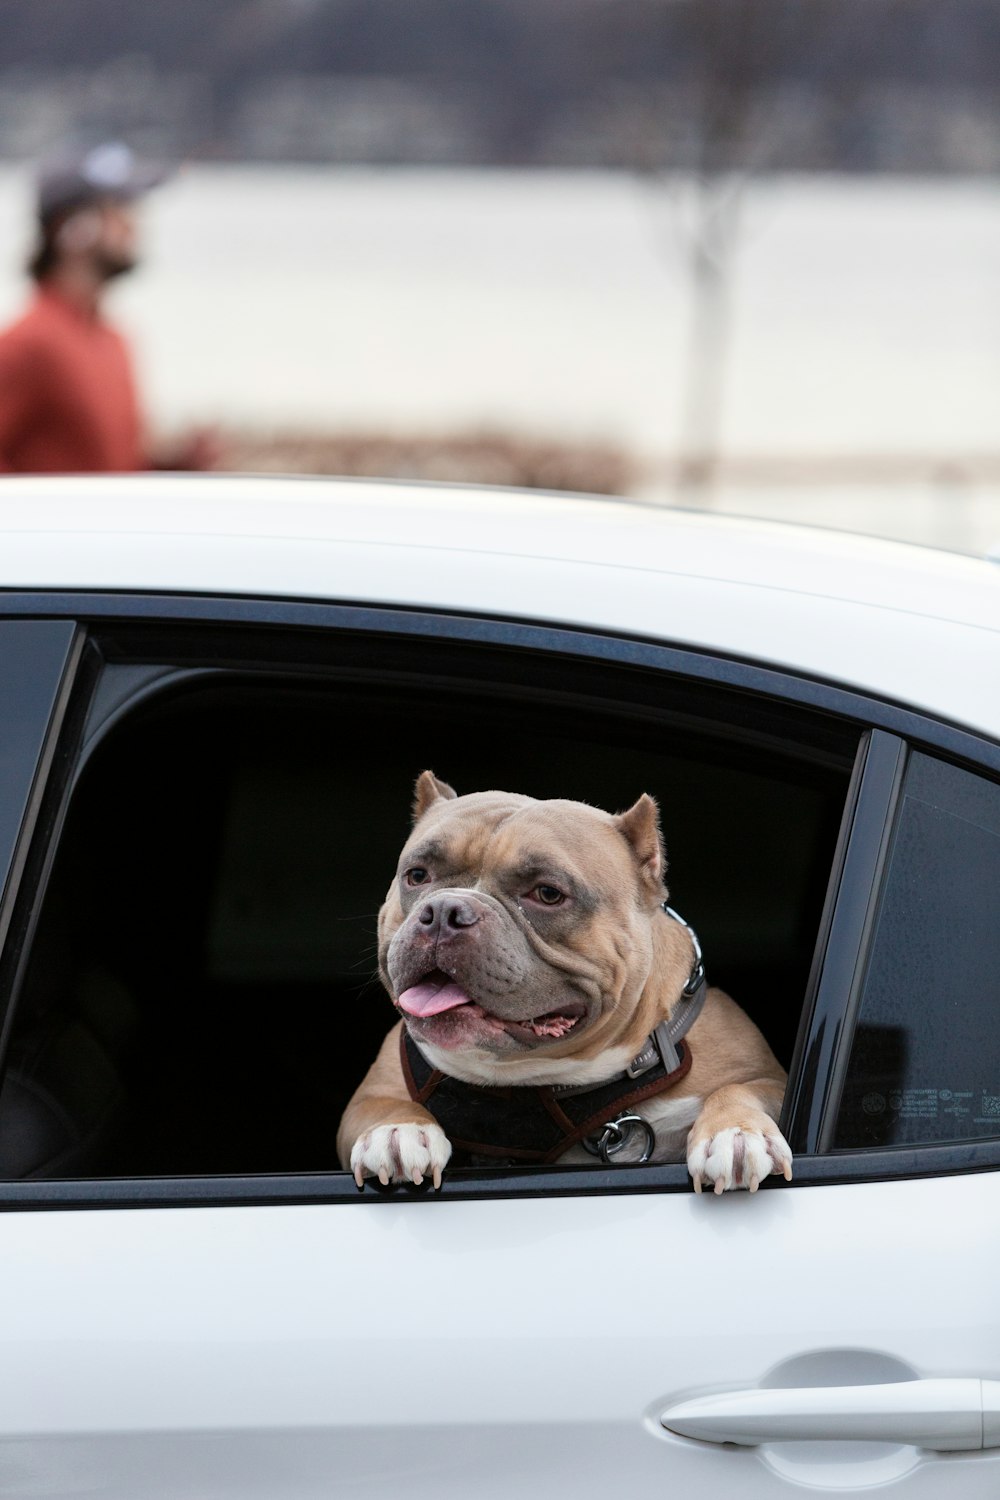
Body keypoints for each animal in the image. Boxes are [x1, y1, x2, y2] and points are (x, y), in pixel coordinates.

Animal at [340, 774, 791, 1194]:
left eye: (547, 893)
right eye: (417, 875)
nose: (444, 911)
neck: (525, 1078)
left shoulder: (768, 1079)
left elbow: (740, 1089)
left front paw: (735, 1132)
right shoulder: (370, 1095)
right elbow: (381, 1105)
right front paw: (397, 1130)